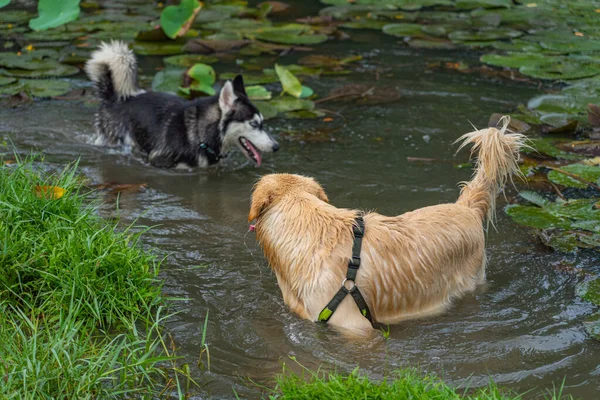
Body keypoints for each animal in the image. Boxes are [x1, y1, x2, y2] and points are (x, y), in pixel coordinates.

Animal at [84, 39, 278, 167]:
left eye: (262, 123)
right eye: (254, 124)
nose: (277, 147)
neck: (200, 135)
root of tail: (115, 98)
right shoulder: (159, 161)